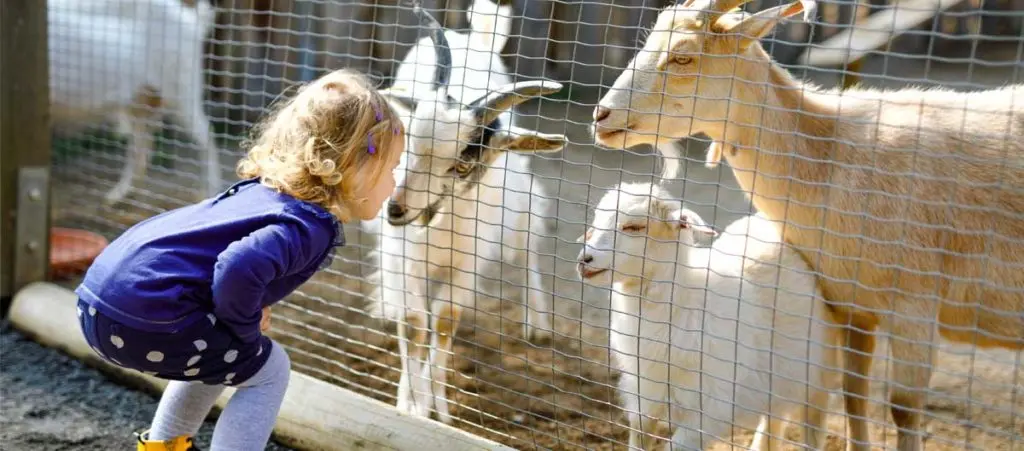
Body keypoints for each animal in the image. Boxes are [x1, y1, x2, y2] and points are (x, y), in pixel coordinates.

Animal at [49, 0, 222, 205]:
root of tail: (191, 22)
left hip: (181, 93)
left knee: (206, 135)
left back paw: (212, 191)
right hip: (138, 102)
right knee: (142, 146)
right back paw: (117, 195)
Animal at [370, 0, 568, 424]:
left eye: (461, 165)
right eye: (408, 144)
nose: (396, 208)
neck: (438, 224)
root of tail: (475, 37)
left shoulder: (467, 262)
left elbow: (445, 321)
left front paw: (438, 410)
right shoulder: (404, 256)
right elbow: (414, 323)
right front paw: (409, 404)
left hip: (519, 208)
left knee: (527, 251)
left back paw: (537, 323)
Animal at [576, 182, 844, 451]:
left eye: (634, 227)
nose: (584, 260)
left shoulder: (711, 405)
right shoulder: (646, 392)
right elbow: (640, 435)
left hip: (819, 369)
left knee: (813, 422)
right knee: (774, 417)